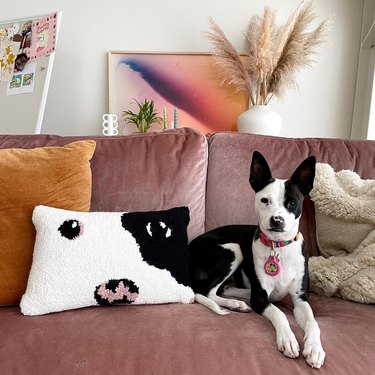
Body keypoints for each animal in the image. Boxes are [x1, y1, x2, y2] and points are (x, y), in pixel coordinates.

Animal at [191, 151, 326, 368]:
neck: (278, 247)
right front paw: (287, 338)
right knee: (208, 291)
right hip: (233, 249)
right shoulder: (260, 298)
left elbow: (313, 321)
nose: (277, 221)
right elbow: (279, 313)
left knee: (223, 288)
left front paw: (314, 348)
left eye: (292, 203)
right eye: (264, 200)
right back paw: (234, 303)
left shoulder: (300, 298)